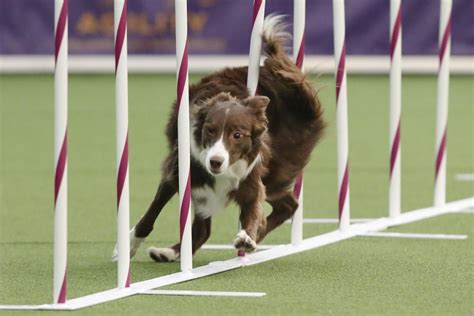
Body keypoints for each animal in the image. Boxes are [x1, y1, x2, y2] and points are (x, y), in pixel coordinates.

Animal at [112, 14, 324, 262]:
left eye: (237, 135)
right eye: (210, 131)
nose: (215, 162)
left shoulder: (251, 180)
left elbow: (253, 212)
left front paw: (248, 237)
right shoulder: (178, 174)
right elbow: (150, 216)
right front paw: (126, 247)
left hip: (274, 171)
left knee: (287, 205)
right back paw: (170, 252)